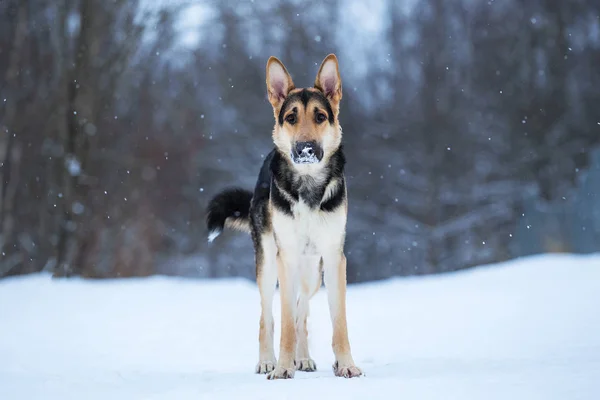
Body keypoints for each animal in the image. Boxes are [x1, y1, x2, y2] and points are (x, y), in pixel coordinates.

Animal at [205, 54, 360, 380]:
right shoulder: (285, 257)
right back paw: (267, 360)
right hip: (268, 263)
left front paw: (346, 364)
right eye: (291, 117)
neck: (308, 184)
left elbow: (337, 321)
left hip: (313, 272)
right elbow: (284, 321)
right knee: (269, 316)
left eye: (320, 117)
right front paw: (282, 368)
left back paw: (305, 358)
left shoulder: (334, 258)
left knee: (302, 311)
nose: (306, 149)